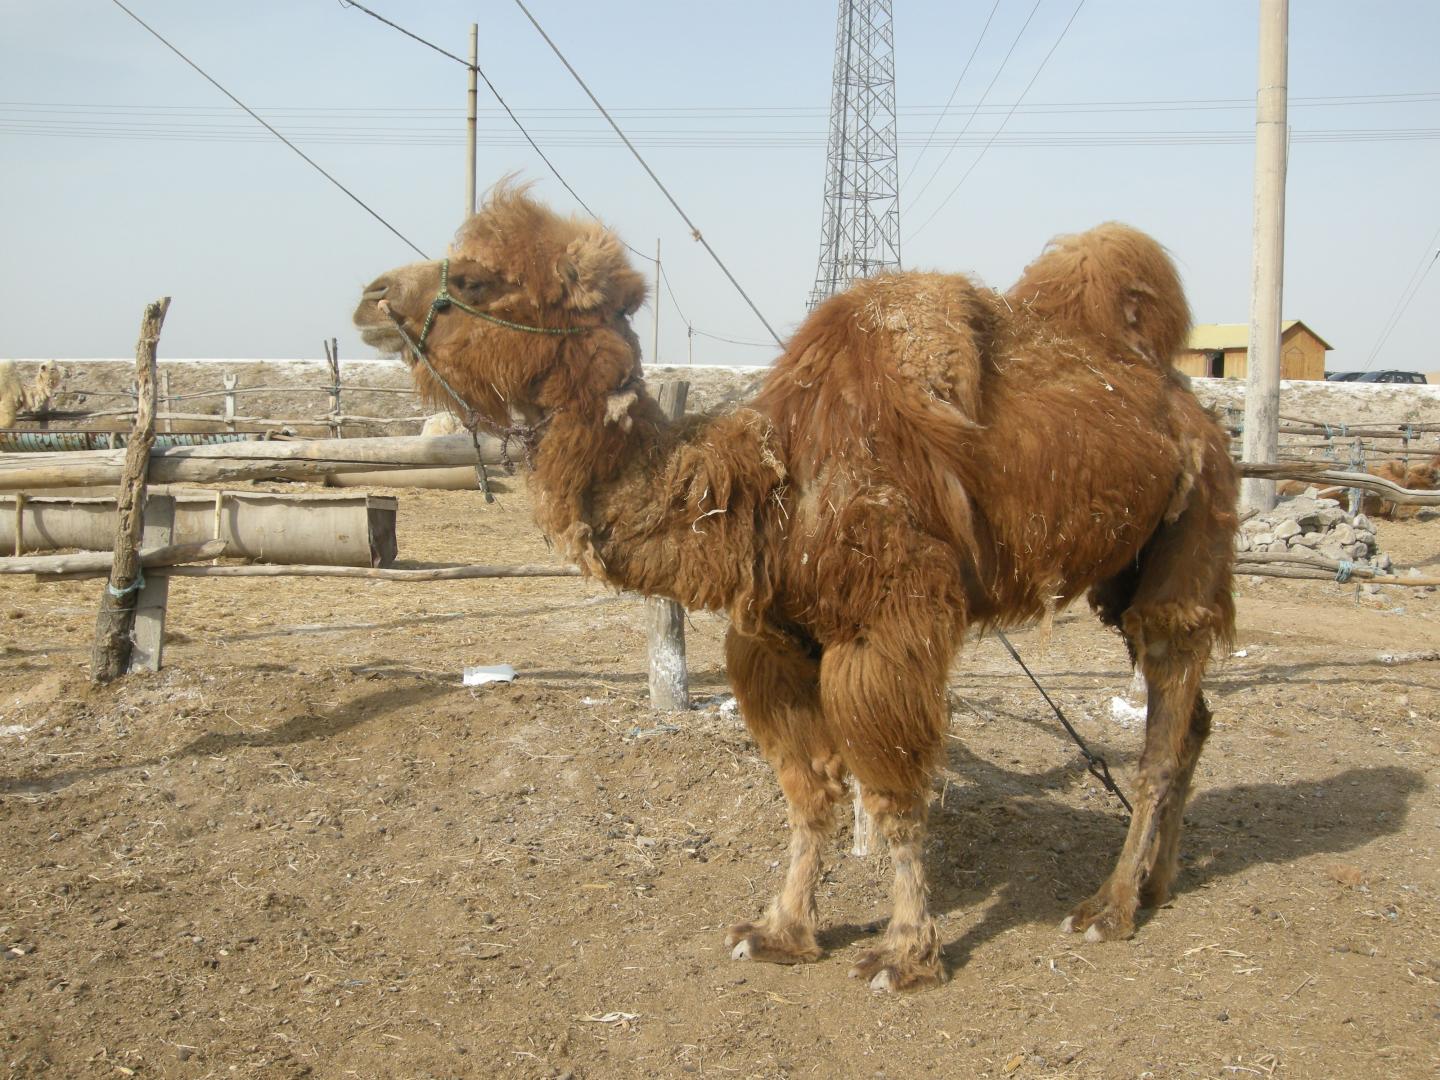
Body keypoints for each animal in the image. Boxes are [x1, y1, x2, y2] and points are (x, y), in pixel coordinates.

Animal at [351, 182, 1238, 996]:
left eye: (476, 278)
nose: (370, 296)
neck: (762, 488)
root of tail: (1189, 404)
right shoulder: (774, 640)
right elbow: (808, 794)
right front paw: (780, 930)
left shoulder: (886, 630)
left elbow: (894, 796)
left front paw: (905, 955)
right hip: (1124, 571)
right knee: (1193, 719)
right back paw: (1158, 885)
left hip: (1192, 536)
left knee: (1163, 727)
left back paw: (1109, 908)